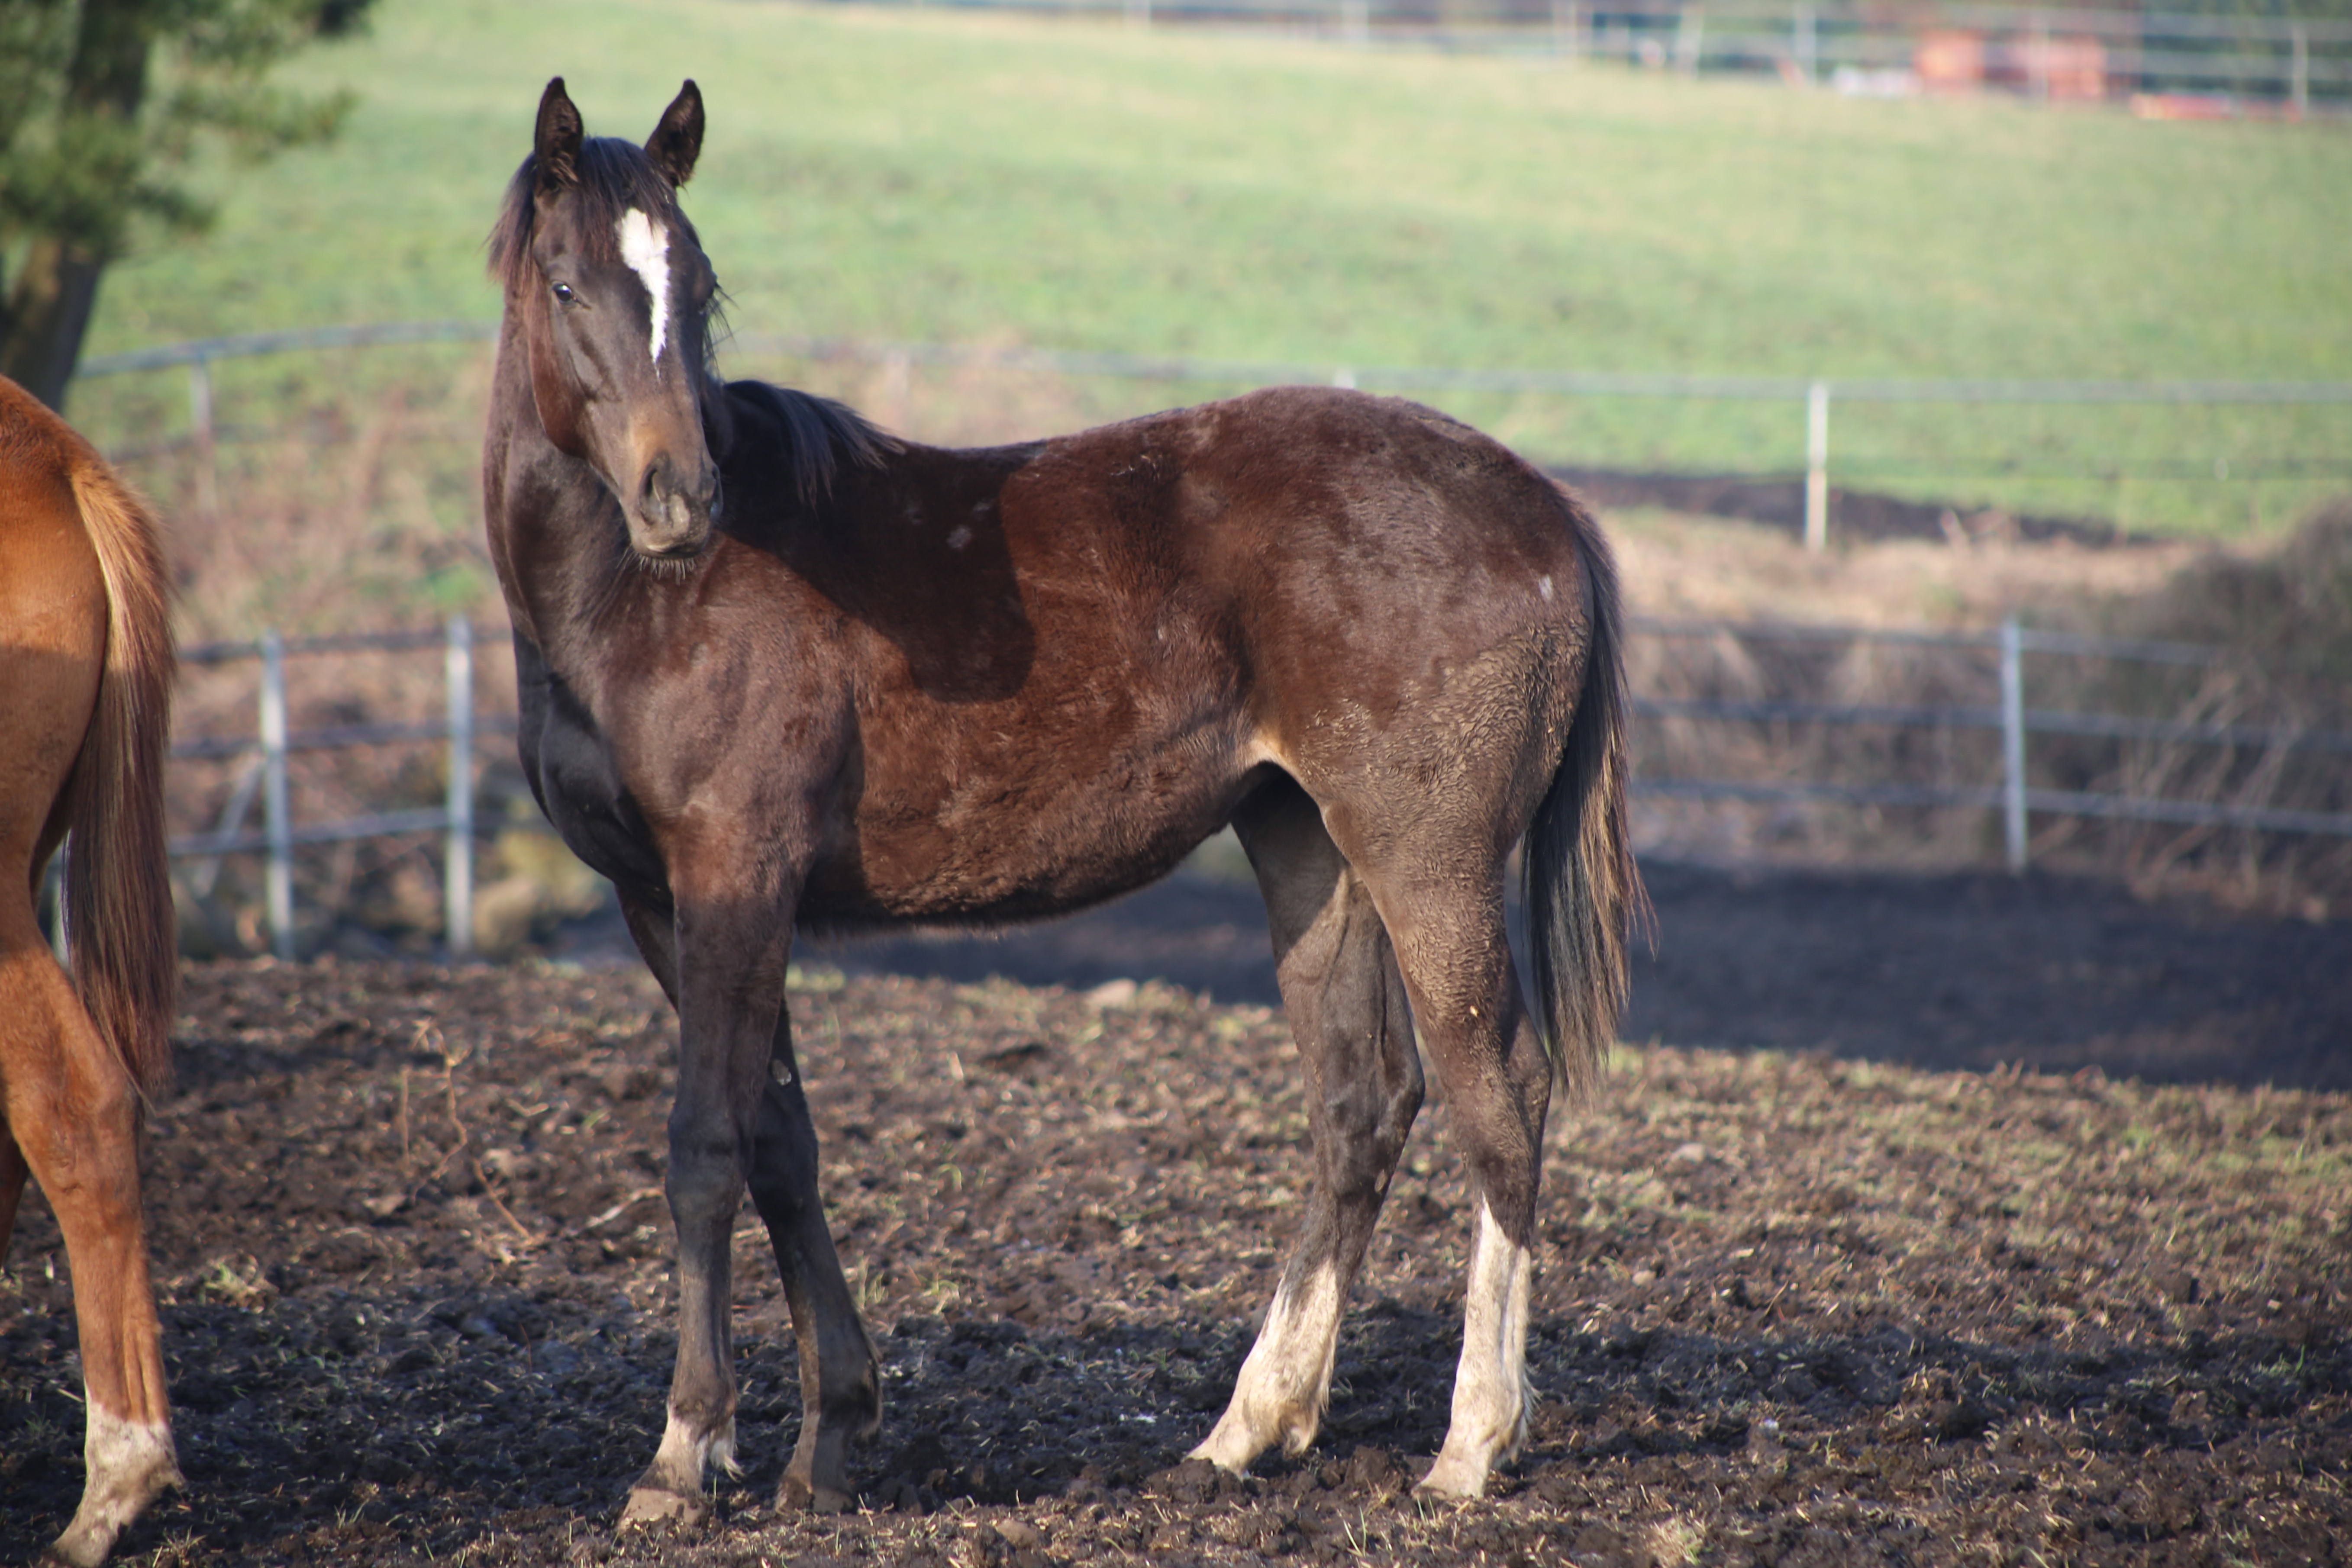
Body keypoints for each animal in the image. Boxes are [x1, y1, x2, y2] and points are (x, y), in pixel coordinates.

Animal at [487, 80, 1646, 1523]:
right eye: (569, 279)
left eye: (696, 285)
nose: (679, 497)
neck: (641, 602)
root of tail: (1544, 509)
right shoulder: (669, 903)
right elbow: (779, 1146)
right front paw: (830, 1437)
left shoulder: (731, 882)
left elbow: (704, 1149)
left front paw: (683, 1449)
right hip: (1307, 848)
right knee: (1361, 1102)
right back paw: (1247, 1428)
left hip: (1426, 863)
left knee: (1500, 1102)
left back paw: (1470, 1441)